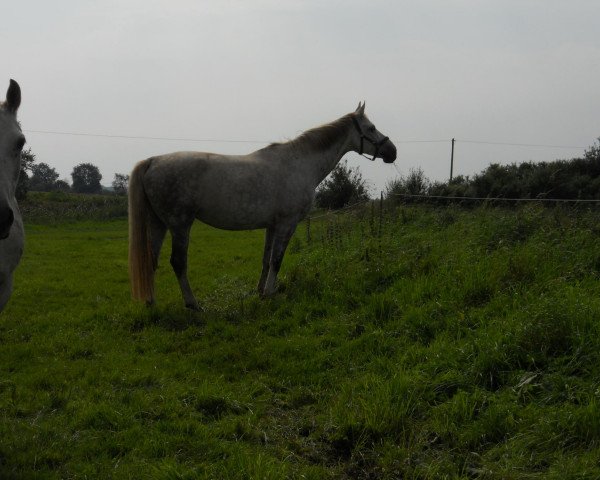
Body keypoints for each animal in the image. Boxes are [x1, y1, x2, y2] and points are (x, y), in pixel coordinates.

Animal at [129, 103, 396, 310]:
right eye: (371, 128)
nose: (392, 151)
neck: (301, 163)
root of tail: (153, 161)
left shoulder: (272, 225)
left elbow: (266, 259)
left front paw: (260, 291)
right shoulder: (287, 224)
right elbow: (277, 259)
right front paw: (270, 292)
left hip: (159, 223)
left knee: (151, 260)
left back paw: (152, 303)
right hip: (180, 224)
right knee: (177, 262)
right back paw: (193, 304)